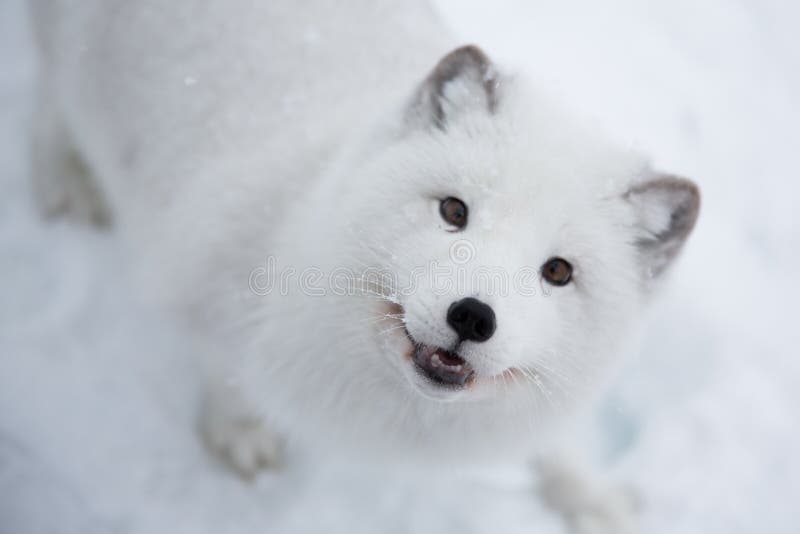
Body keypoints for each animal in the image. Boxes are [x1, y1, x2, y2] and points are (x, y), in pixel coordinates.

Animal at [28, 0, 696, 532]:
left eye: (557, 272)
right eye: (454, 210)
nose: (473, 316)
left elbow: (557, 446)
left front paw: (589, 497)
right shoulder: (207, 279)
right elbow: (228, 375)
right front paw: (239, 434)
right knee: (51, 99)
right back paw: (64, 174)